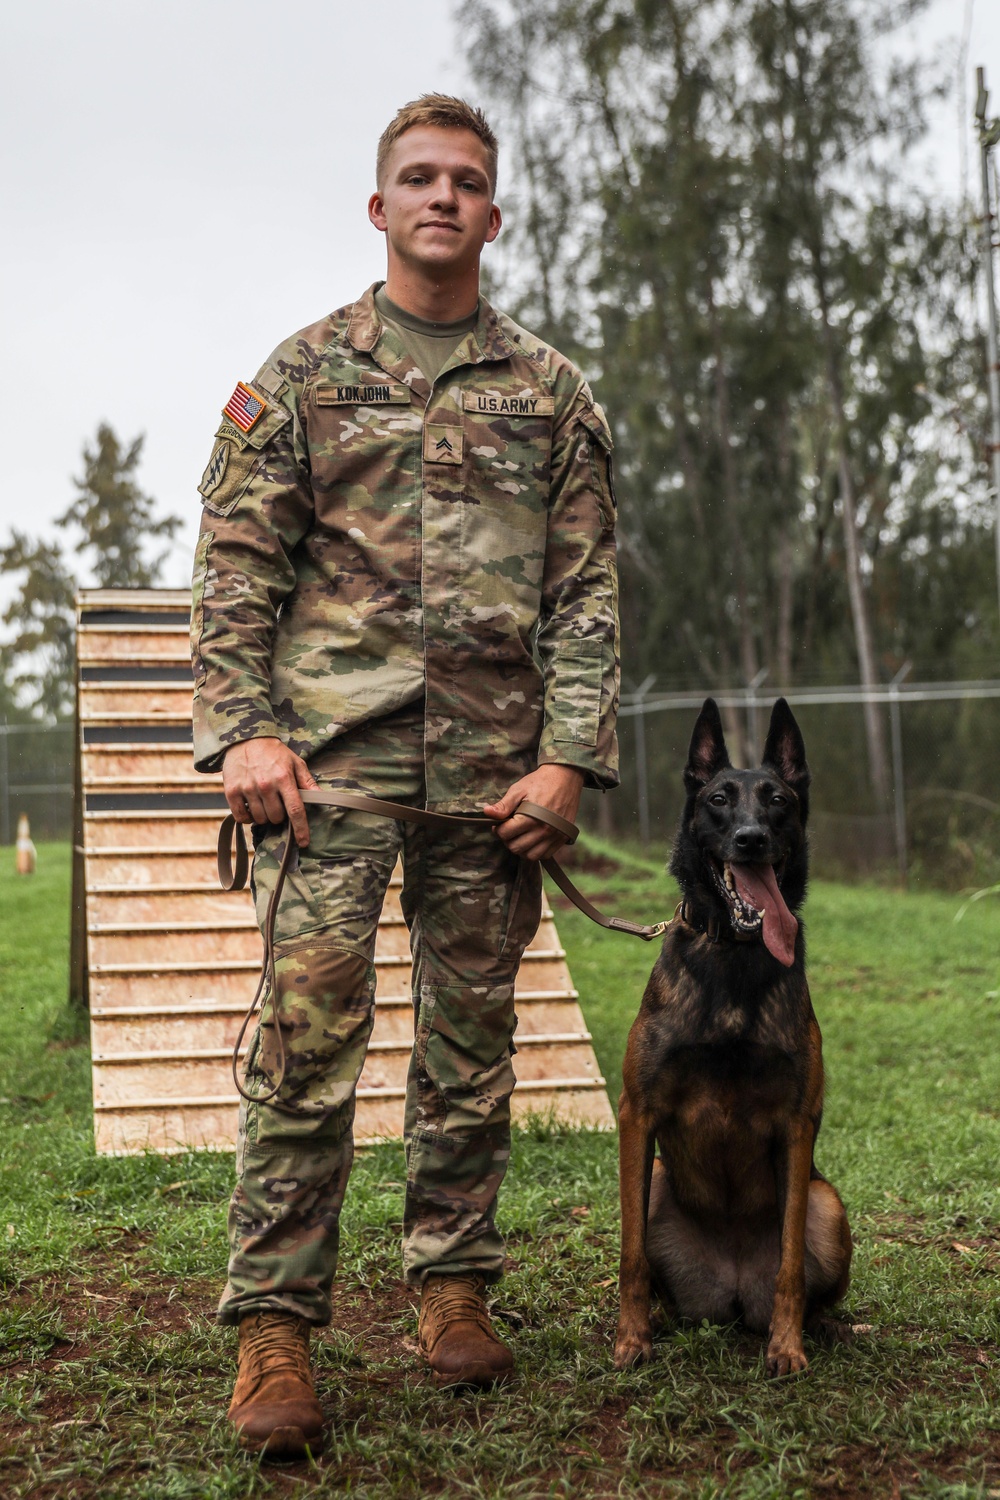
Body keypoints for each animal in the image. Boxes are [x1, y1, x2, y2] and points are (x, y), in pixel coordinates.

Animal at [617, 696, 851, 1374]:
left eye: (777, 800)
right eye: (720, 799)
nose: (751, 840)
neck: (735, 956)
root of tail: (733, 1291)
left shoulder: (797, 1125)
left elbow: (791, 1263)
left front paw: (787, 1346)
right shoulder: (636, 1114)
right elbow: (630, 1256)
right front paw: (630, 1340)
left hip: (829, 1202)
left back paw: (821, 1327)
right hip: (657, 1178)